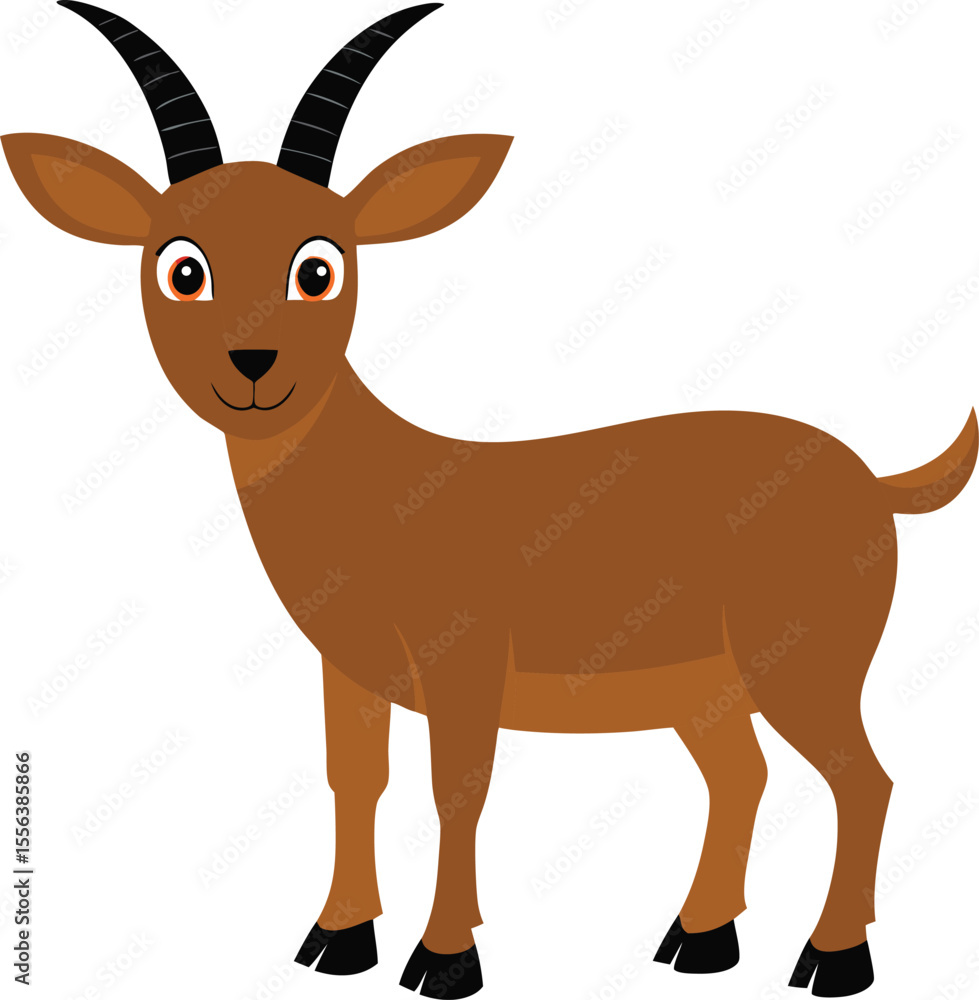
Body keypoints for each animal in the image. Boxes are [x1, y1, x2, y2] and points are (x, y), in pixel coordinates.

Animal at [3, 3, 976, 997]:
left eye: (319, 266)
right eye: (181, 266)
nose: (251, 363)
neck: (375, 488)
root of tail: (871, 479)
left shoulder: (462, 658)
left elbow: (457, 787)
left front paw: (443, 958)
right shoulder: (348, 669)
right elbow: (356, 778)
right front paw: (337, 940)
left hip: (808, 665)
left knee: (862, 779)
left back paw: (832, 958)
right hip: (705, 684)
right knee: (742, 777)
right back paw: (697, 941)